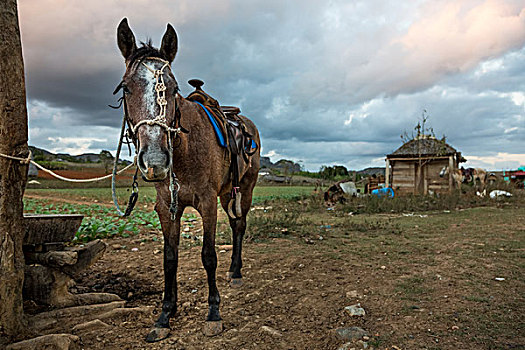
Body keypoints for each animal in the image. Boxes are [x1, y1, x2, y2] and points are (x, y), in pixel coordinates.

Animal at [115, 18, 260, 342]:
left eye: (173, 88)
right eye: (126, 88)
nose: (155, 161)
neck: (184, 149)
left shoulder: (207, 203)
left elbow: (208, 256)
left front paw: (214, 312)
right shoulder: (166, 207)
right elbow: (170, 258)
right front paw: (165, 315)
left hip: (245, 187)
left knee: (240, 225)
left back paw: (236, 272)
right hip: (227, 192)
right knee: (236, 223)